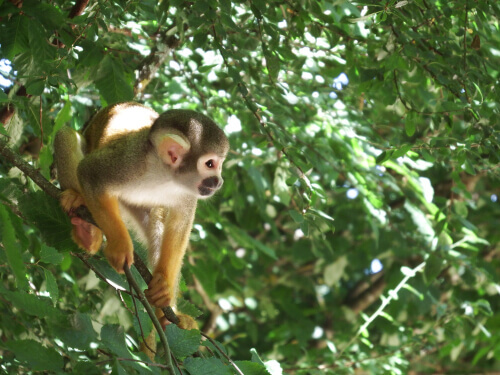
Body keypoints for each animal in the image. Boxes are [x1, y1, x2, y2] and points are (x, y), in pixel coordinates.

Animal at [53, 102, 229, 328]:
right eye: (210, 164)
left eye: (219, 165)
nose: (218, 181)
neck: (164, 173)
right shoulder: (127, 162)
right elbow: (89, 172)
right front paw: (119, 246)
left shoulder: (188, 192)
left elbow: (178, 226)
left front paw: (164, 285)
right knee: (66, 135)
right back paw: (86, 227)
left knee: (157, 221)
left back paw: (168, 314)